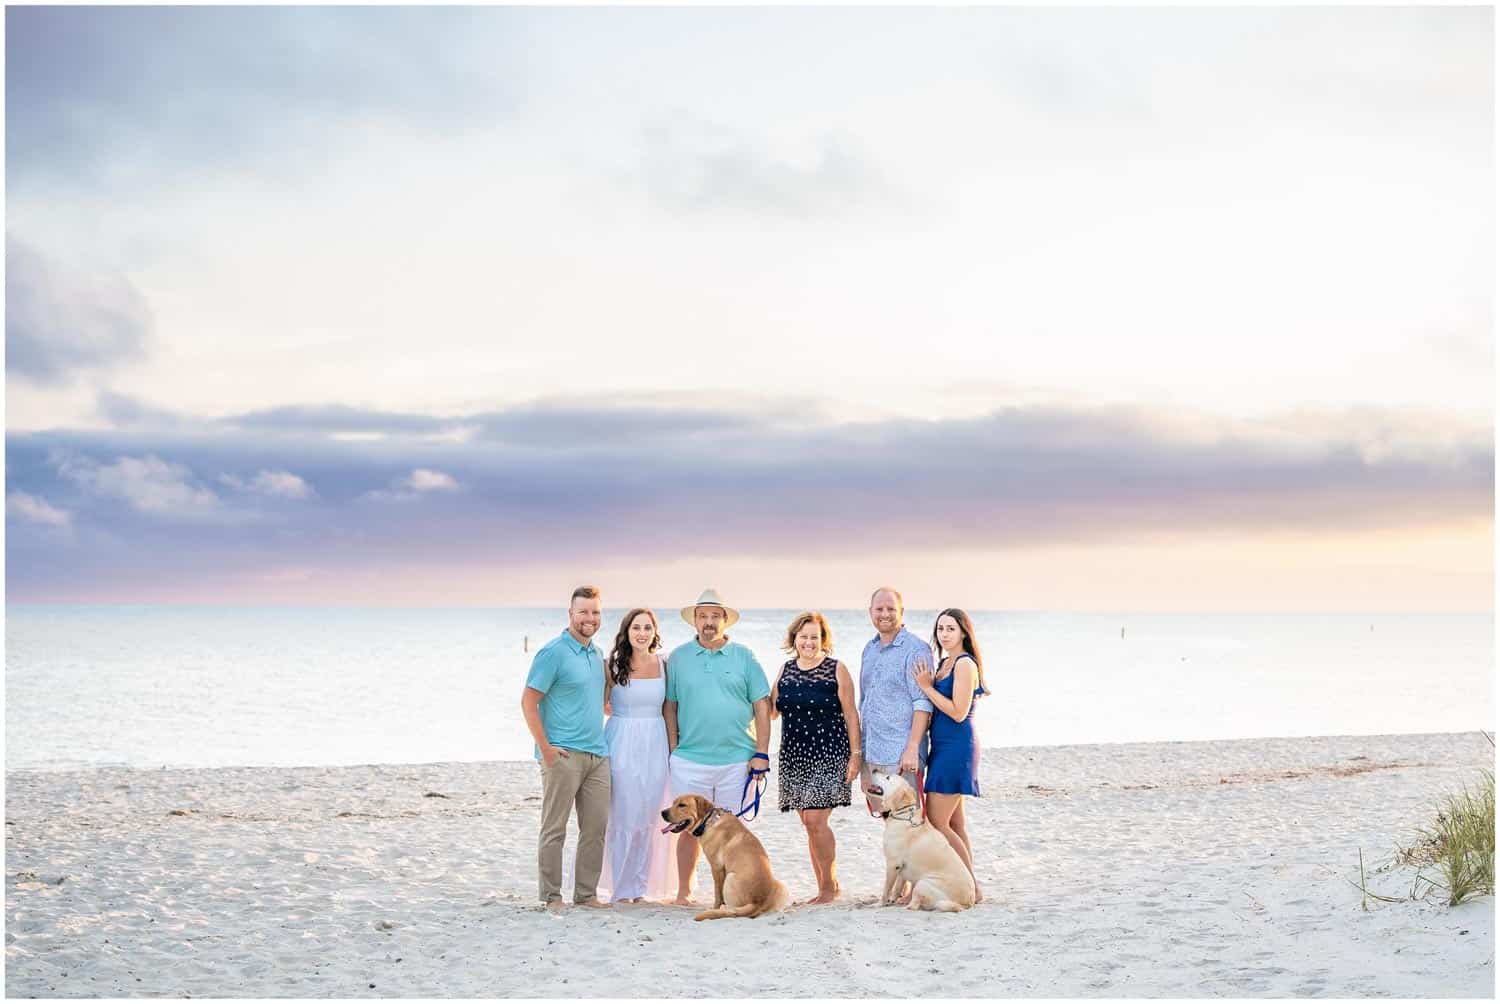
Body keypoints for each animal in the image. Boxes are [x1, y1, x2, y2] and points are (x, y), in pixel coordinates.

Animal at [663, 792, 792, 918]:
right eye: (674, 803)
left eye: (682, 805)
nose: (662, 813)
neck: (708, 822)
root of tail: (757, 903)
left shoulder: (716, 867)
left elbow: (718, 894)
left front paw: (715, 908)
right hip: (783, 887)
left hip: (730, 878)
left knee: (733, 911)